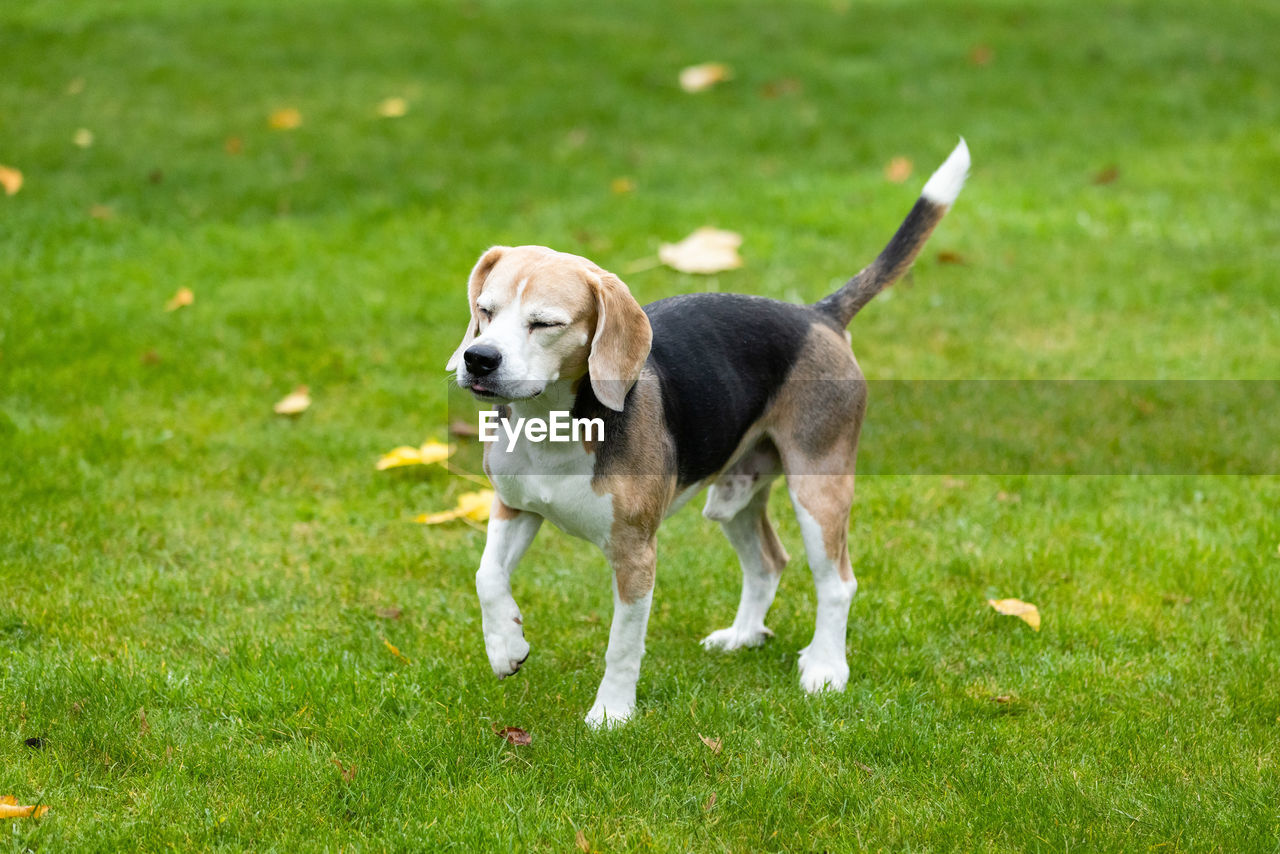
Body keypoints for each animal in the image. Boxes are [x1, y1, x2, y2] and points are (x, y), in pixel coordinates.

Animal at [450, 140, 967, 727]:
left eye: (545, 323)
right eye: (485, 311)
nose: (478, 359)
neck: (556, 423)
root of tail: (819, 316)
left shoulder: (635, 556)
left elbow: (622, 644)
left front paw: (612, 713)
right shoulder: (515, 507)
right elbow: (486, 577)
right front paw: (505, 647)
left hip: (819, 490)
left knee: (837, 581)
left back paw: (825, 667)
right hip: (735, 494)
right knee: (768, 563)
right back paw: (743, 636)